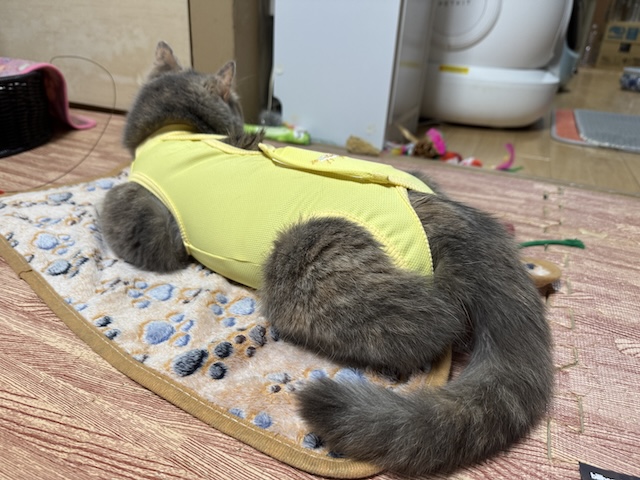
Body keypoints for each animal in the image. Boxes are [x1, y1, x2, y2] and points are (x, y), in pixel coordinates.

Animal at [100, 41, 554, 476]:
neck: (176, 130)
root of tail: (458, 217)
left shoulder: (152, 229)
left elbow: (111, 201)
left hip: (301, 264)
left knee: (436, 320)